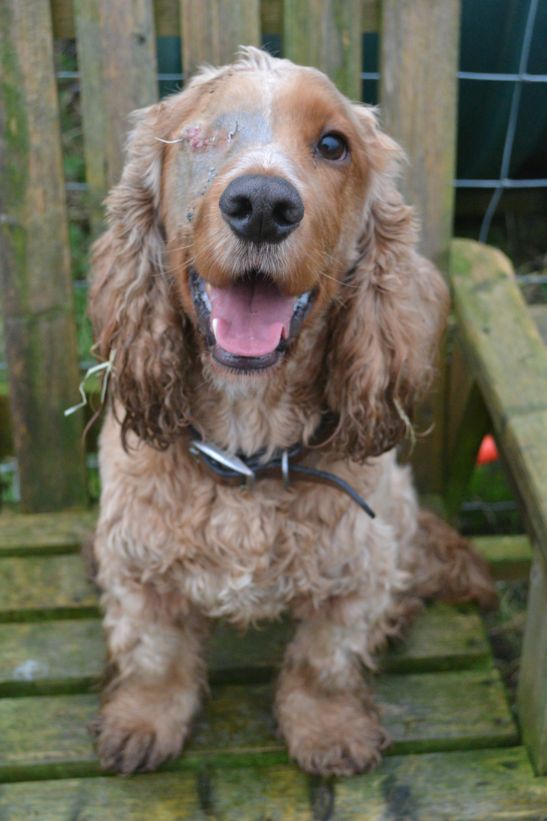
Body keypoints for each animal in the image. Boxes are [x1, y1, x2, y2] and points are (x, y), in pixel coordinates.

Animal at [88, 47, 495, 777]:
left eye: (333, 145)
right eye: (199, 135)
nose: (262, 205)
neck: (246, 448)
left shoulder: (356, 569)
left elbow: (324, 658)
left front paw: (328, 728)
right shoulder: (133, 561)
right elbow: (154, 652)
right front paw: (142, 721)